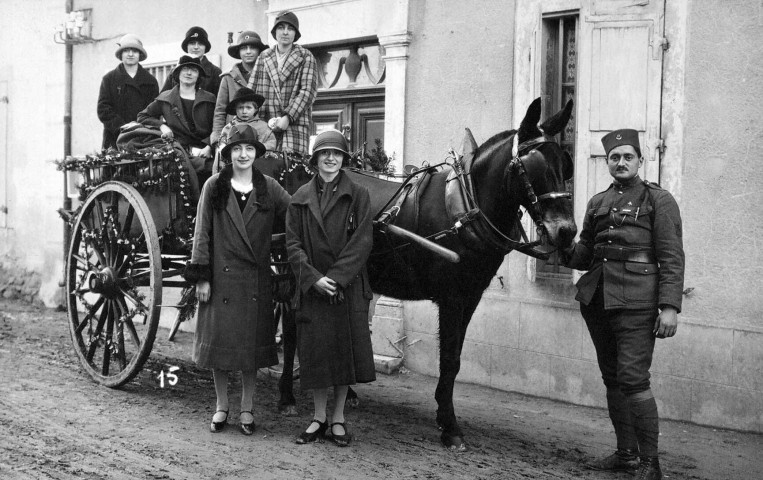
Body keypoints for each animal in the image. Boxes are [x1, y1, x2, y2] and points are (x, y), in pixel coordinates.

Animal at [274, 97, 572, 450]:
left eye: (566, 165)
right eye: (536, 168)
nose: (567, 231)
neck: (466, 209)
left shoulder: (470, 296)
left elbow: (454, 360)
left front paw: (445, 416)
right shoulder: (452, 298)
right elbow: (448, 357)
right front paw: (450, 425)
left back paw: (347, 393)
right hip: (294, 275)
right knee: (293, 331)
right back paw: (287, 396)